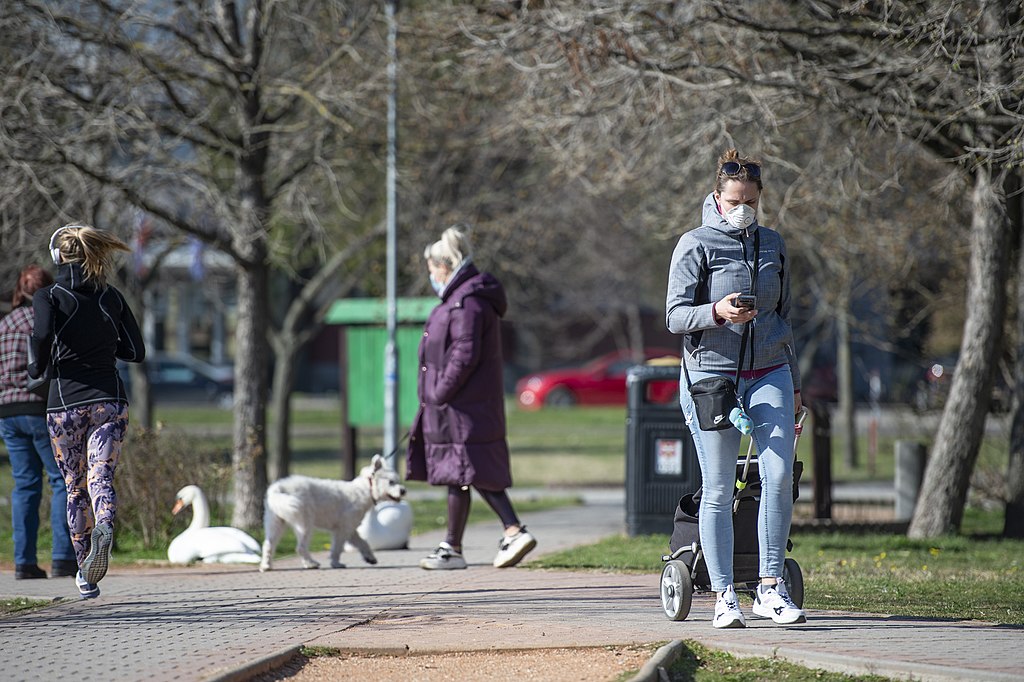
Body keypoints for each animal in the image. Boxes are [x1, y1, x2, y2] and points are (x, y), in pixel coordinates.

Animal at [258, 454, 405, 569]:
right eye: (391, 482)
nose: (403, 491)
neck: (364, 491)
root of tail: (278, 488)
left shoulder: (350, 529)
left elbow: (363, 542)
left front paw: (370, 558)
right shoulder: (342, 530)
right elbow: (337, 548)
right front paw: (336, 563)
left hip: (275, 522)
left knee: (268, 544)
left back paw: (266, 566)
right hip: (304, 524)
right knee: (300, 547)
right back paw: (311, 563)